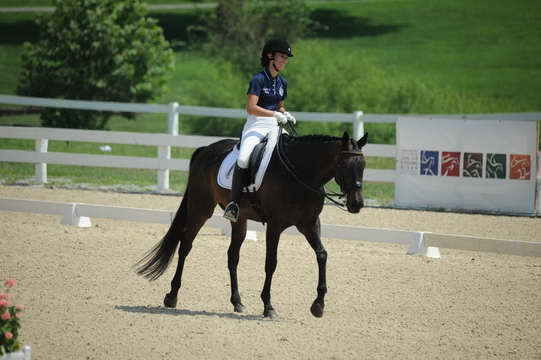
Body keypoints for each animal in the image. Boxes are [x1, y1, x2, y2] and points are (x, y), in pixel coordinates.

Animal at [137, 129, 370, 318]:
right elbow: (271, 262)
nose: (357, 204)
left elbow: (322, 255)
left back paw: (237, 302)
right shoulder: (275, 225)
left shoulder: (310, 224)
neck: (300, 173)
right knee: (185, 246)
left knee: (232, 256)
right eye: (344, 164)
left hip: (239, 220)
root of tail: (206, 149)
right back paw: (172, 296)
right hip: (200, 209)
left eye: (363, 165)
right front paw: (268, 307)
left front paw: (318, 305)